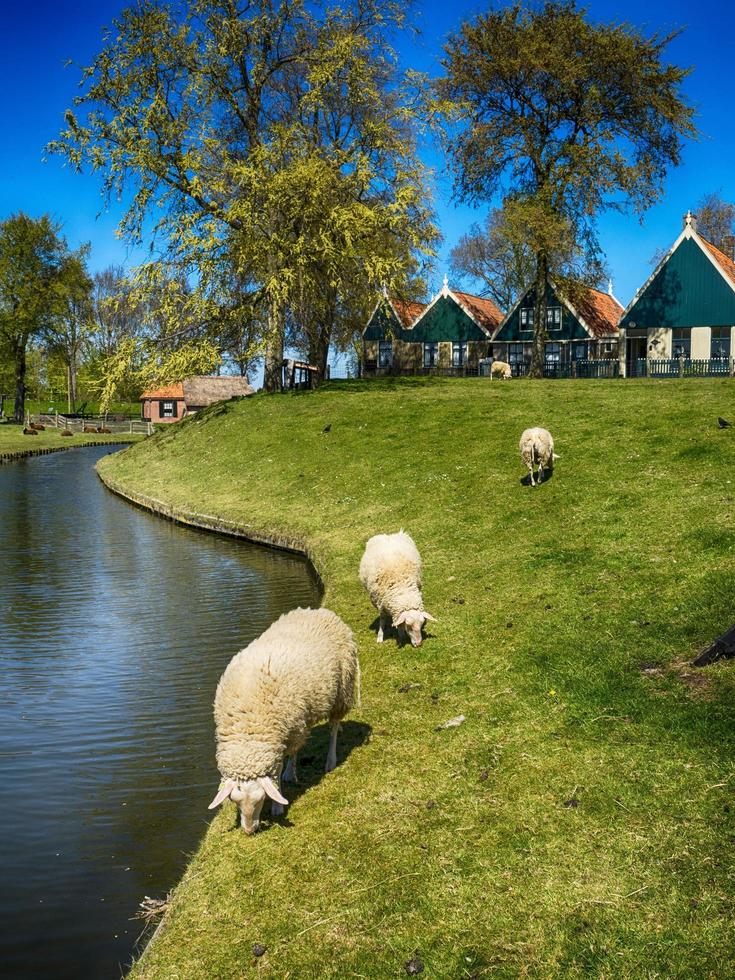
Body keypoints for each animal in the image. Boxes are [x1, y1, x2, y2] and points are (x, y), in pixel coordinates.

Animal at [207, 604, 360, 836]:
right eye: (235, 801)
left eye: (261, 800)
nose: (249, 831)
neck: (248, 728)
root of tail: (319, 611)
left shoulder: (289, 730)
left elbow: (281, 767)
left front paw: (278, 803)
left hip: (342, 690)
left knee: (333, 727)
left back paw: (329, 760)